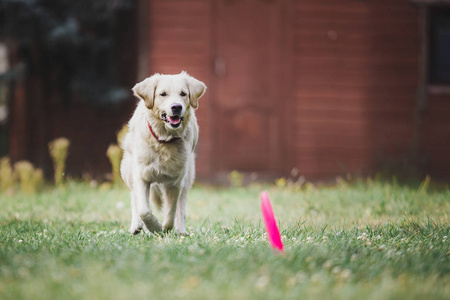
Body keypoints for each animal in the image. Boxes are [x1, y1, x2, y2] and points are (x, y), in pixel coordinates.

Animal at [120, 72, 207, 234]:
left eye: (183, 94)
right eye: (163, 94)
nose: (176, 107)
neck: (164, 141)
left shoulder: (175, 181)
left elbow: (171, 211)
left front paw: (165, 228)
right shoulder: (141, 175)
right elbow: (143, 210)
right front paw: (153, 226)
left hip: (188, 176)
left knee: (181, 207)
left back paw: (181, 230)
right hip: (128, 170)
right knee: (134, 198)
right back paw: (136, 225)